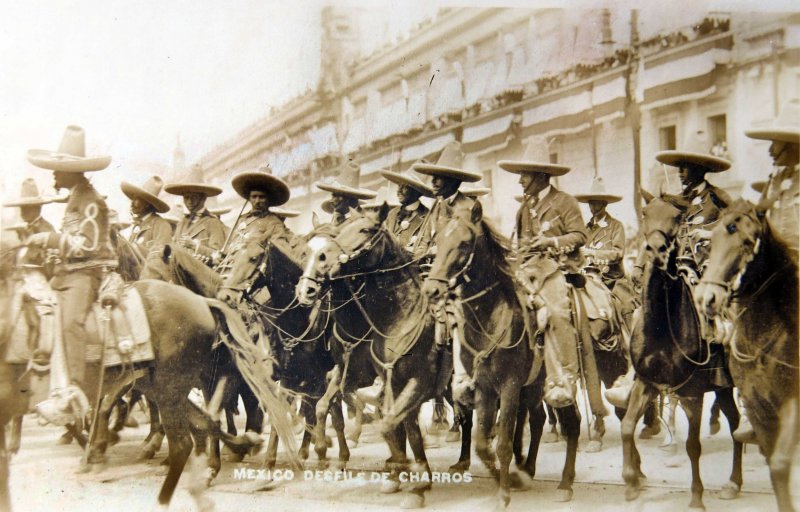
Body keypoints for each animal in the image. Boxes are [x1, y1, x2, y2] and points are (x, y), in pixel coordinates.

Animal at [296, 205, 450, 508]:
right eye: (305, 251)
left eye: (365, 230)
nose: (306, 290)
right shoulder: (347, 373)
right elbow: (326, 407)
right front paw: (330, 453)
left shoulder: (394, 380)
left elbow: (384, 418)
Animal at [418, 202, 580, 510]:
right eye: (438, 240)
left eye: (464, 243)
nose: (431, 289)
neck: (489, 317)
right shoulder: (485, 388)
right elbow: (483, 443)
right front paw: (511, 480)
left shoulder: (509, 386)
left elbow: (502, 442)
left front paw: (504, 494)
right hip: (533, 386)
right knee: (538, 419)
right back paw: (528, 469)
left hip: (554, 383)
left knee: (572, 422)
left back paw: (566, 484)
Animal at [620, 194, 744, 510]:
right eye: (645, 212)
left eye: (676, 217)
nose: (656, 249)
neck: (663, 328)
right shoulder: (647, 383)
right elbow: (627, 426)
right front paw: (631, 482)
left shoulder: (692, 394)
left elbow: (692, 446)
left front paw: (697, 496)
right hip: (723, 389)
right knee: (736, 423)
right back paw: (733, 484)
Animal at [696, 199, 796, 508]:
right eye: (711, 241)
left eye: (747, 242)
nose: (706, 299)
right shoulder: (758, 408)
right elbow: (777, 470)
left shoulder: (791, 404)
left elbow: (781, 465)